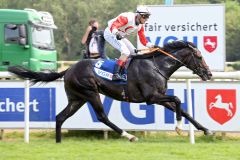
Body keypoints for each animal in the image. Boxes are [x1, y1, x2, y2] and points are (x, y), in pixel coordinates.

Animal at [8, 40, 213, 142]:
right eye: (199, 56)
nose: (209, 74)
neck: (157, 66)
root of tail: (68, 70)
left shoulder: (159, 96)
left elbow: (184, 109)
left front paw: (206, 130)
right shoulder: (152, 97)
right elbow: (178, 99)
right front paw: (178, 128)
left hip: (77, 98)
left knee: (60, 117)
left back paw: (58, 143)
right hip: (90, 93)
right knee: (102, 117)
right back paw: (129, 136)